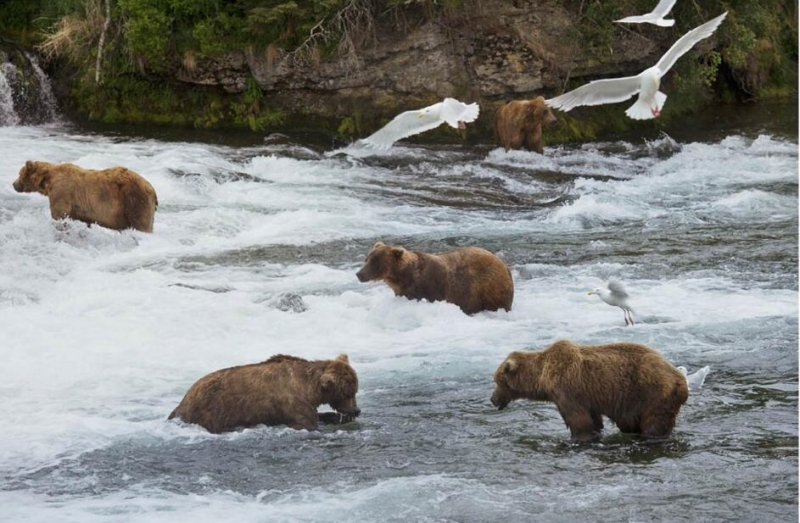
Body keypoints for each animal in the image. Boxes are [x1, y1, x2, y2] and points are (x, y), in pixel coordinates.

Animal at [12, 161, 159, 232]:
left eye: (19, 173)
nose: (14, 184)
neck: (48, 181)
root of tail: (152, 189)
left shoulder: (62, 193)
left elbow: (59, 214)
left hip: (135, 201)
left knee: (142, 224)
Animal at [170, 354, 360, 436]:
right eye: (349, 392)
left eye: (355, 390)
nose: (357, 410)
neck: (310, 389)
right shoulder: (293, 402)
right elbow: (307, 423)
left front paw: (338, 417)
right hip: (210, 411)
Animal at [354, 243, 512, 316]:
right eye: (367, 259)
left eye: (375, 261)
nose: (359, 274)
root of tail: (504, 265)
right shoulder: (403, 290)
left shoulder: (432, 286)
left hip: (489, 288)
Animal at [490, 340, 692, 442]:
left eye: (497, 380)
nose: (492, 399)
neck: (544, 376)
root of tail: (681, 379)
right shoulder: (588, 397)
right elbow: (594, 420)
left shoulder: (567, 389)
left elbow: (579, 421)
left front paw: (577, 439)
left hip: (653, 393)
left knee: (654, 424)